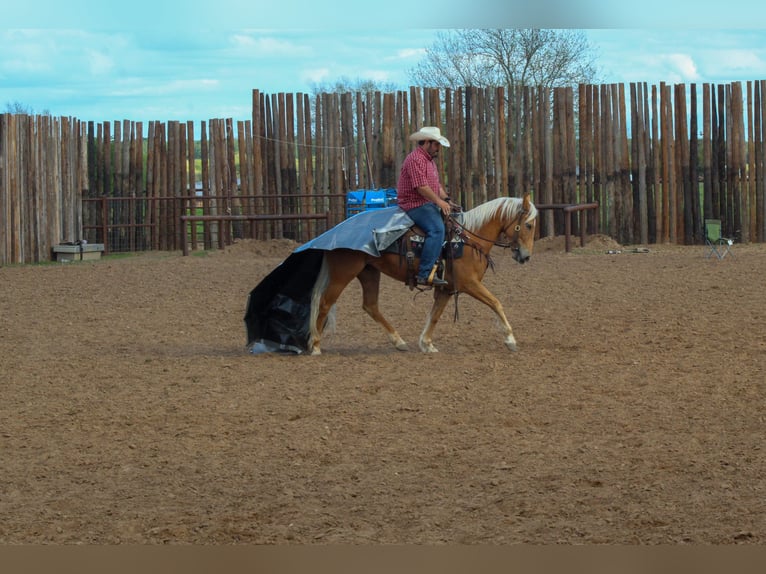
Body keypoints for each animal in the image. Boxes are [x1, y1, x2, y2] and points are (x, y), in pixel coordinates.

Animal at [308, 194, 540, 356]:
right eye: (528, 225)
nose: (526, 256)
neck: (467, 239)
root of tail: (334, 232)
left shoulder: (447, 288)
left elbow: (435, 314)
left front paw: (426, 344)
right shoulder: (469, 284)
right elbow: (496, 303)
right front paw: (510, 339)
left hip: (369, 273)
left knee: (370, 306)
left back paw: (399, 341)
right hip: (343, 273)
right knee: (325, 304)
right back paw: (316, 345)